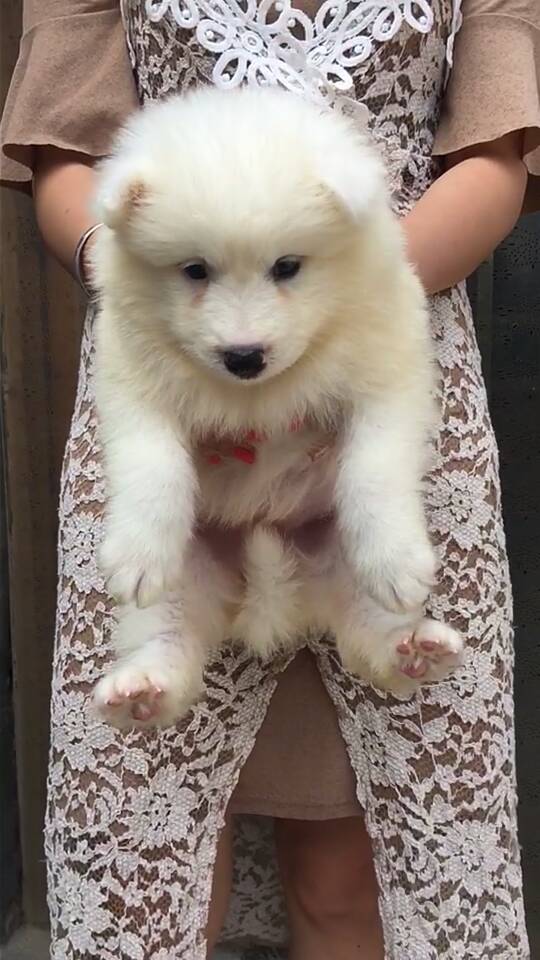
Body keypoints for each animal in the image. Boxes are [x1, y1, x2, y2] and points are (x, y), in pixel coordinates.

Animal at [90, 85, 464, 728]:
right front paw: (138, 551)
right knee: (168, 635)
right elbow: (151, 465)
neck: (256, 394)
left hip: (339, 555)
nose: (244, 356)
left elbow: (375, 469)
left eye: (287, 267)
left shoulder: (389, 370)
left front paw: (396, 560)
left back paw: (414, 648)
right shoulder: (129, 377)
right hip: (187, 574)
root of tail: (282, 592)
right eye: (195, 270)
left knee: (370, 633)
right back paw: (141, 688)